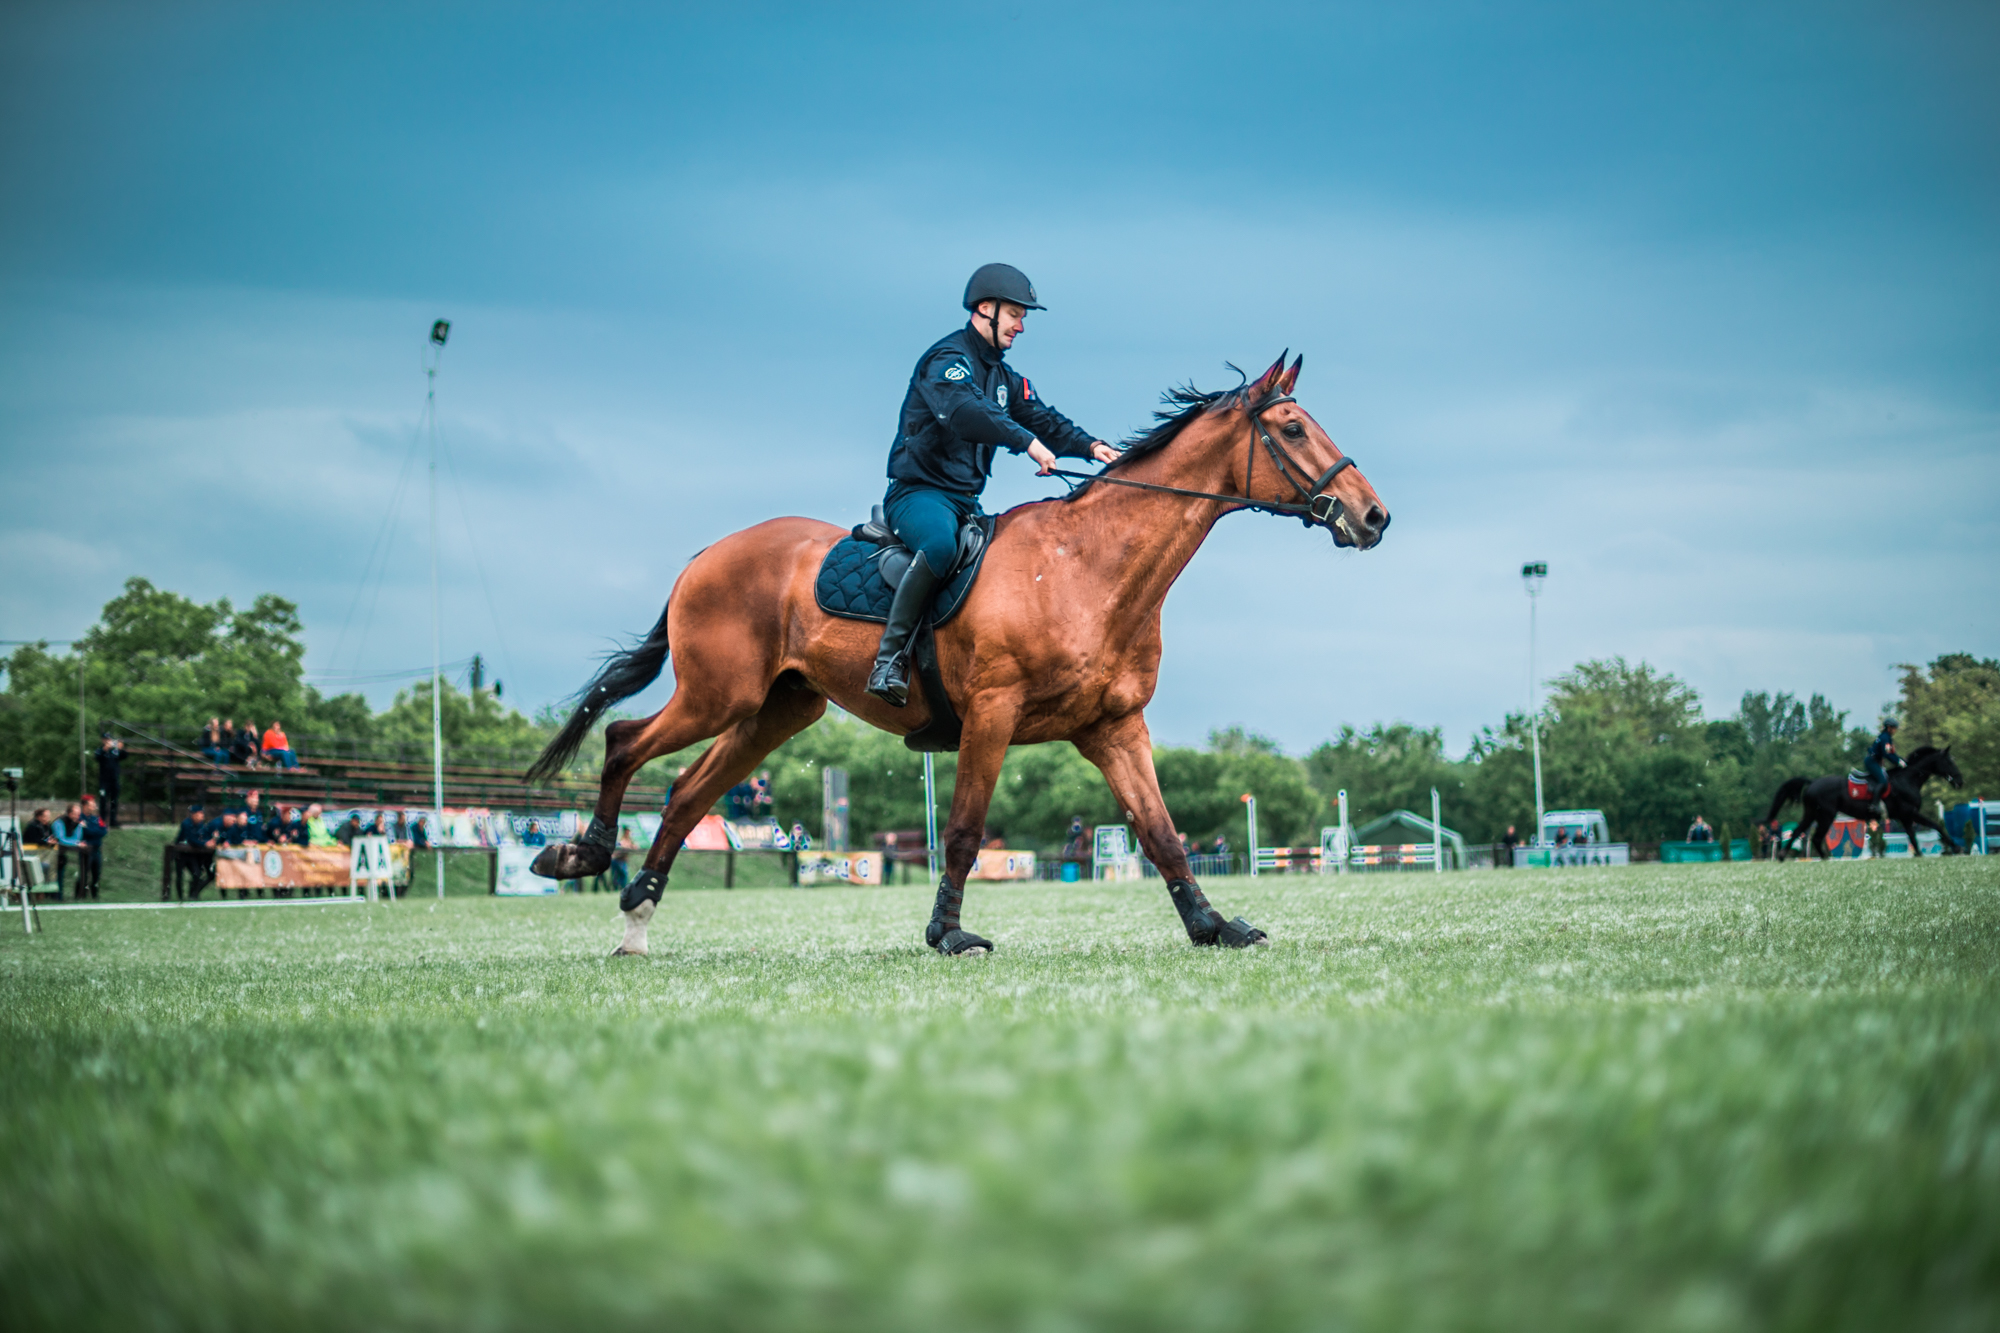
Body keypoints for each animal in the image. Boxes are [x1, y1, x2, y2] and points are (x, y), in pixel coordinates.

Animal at [524, 350, 1384, 956]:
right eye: (1295, 428)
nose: (1373, 516)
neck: (1085, 565)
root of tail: (707, 555)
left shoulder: (1115, 727)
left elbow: (1162, 832)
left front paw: (1213, 926)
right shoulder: (992, 716)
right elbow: (967, 830)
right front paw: (949, 933)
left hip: (774, 714)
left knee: (685, 794)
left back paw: (636, 920)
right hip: (717, 696)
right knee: (623, 741)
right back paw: (580, 854)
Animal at [1768, 740, 1968, 856]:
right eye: (1949, 761)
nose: (1960, 781)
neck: (1908, 779)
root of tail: (1813, 782)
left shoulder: (1906, 817)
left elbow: (1913, 836)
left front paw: (1919, 854)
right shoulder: (1910, 813)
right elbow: (1936, 826)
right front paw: (1957, 848)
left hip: (1812, 813)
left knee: (1798, 832)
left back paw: (1784, 856)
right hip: (1826, 815)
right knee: (1816, 837)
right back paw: (1824, 858)